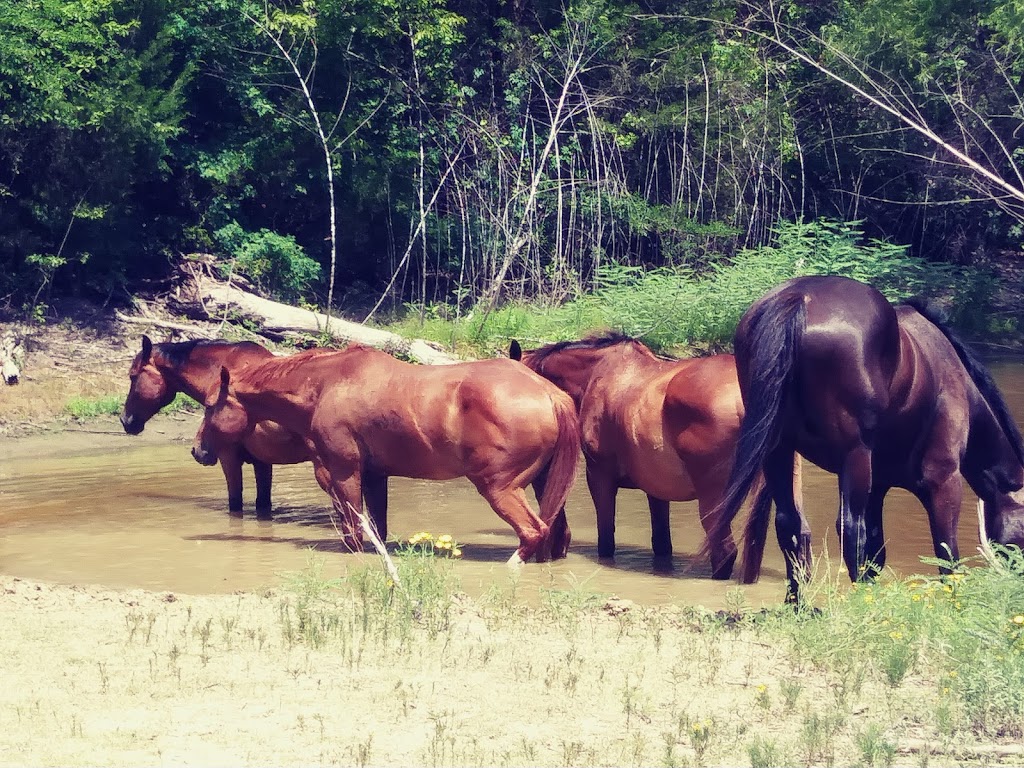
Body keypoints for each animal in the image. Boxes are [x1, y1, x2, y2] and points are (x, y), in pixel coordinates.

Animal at [191, 346, 577, 561]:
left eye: (209, 406)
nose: (197, 450)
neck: (327, 385)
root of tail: (549, 393)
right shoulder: (376, 476)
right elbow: (378, 530)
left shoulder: (344, 473)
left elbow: (353, 533)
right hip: (542, 486)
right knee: (555, 534)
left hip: (500, 488)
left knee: (533, 532)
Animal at [507, 333, 778, 581]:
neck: (596, 374)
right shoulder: (656, 489)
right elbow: (662, 544)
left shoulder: (600, 476)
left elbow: (606, 541)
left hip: (713, 499)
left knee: (724, 552)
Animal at [712, 274, 1024, 602]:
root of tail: (797, 298)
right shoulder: (944, 479)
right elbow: (946, 555)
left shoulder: (880, 486)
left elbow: (877, 553)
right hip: (855, 455)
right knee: (851, 529)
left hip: (779, 451)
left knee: (790, 524)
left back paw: (799, 605)